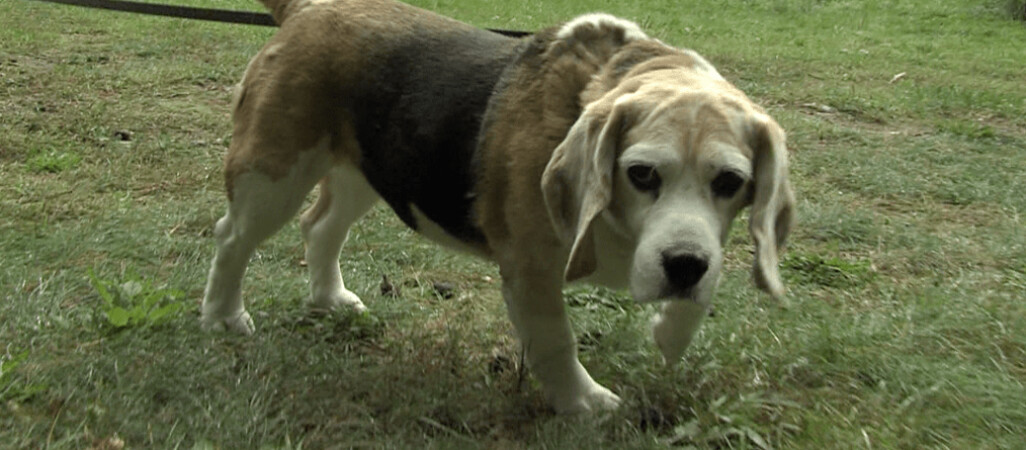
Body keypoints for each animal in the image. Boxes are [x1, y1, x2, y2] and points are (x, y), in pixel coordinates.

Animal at [200, 0, 792, 416]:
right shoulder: (531, 271)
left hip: (365, 173)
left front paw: (668, 336)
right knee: (232, 238)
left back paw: (329, 300)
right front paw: (585, 403)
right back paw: (225, 316)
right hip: (274, 176)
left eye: (731, 182)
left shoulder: (694, 249)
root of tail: (311, 10)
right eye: (641, 174)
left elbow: (698, 291)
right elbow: (556, 342)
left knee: (320, 227)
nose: (683, 266)